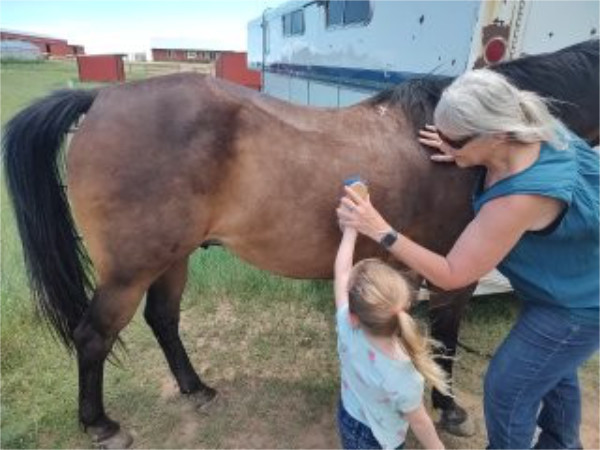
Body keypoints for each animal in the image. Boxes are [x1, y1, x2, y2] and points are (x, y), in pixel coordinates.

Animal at [2, 38, 596, 446]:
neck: (454, 148)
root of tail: (101, 98)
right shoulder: (455, 274)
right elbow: (446, 340)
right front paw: (449, 410)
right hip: (130, 270)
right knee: (93, 336)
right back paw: (101, 424)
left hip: (172, 259)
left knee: (163, 320)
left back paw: (197, 389)